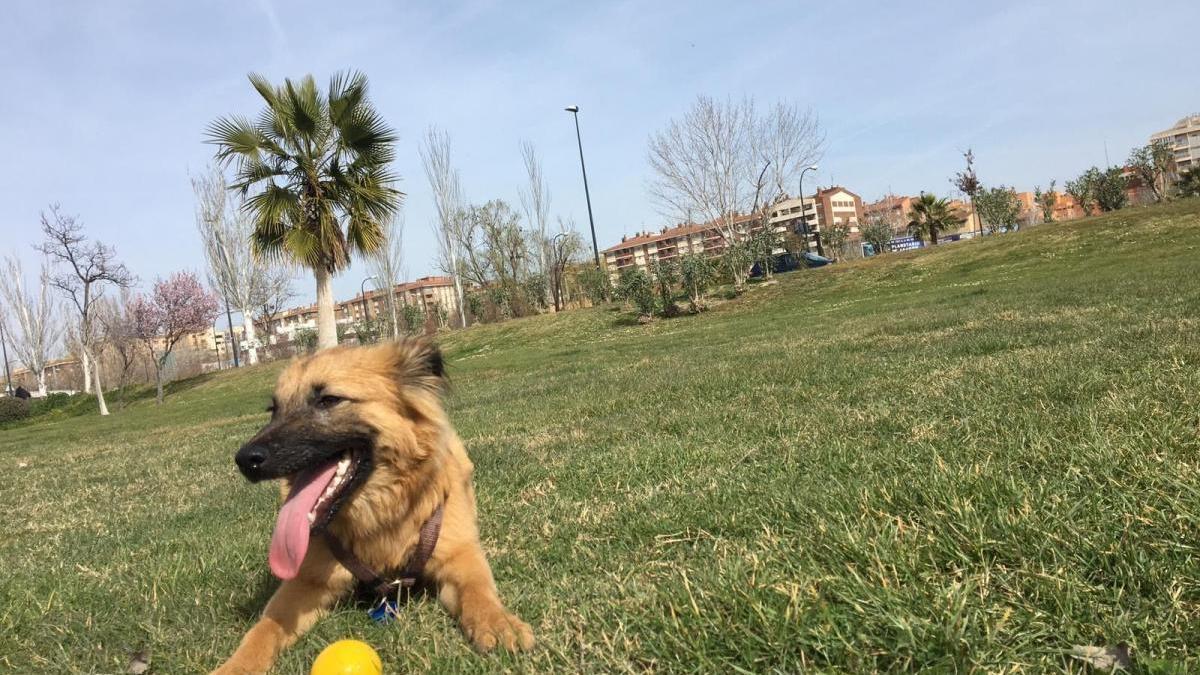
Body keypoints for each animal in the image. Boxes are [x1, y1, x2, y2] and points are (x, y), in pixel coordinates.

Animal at [213, 341, 532, 672]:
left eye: (329, 400)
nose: (244, 460)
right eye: (273, 410)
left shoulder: (460, 557)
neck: (379, 517)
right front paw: (235, 666)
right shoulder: (305, 582)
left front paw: (498, 623)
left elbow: (478, 590)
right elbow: (265, 627)